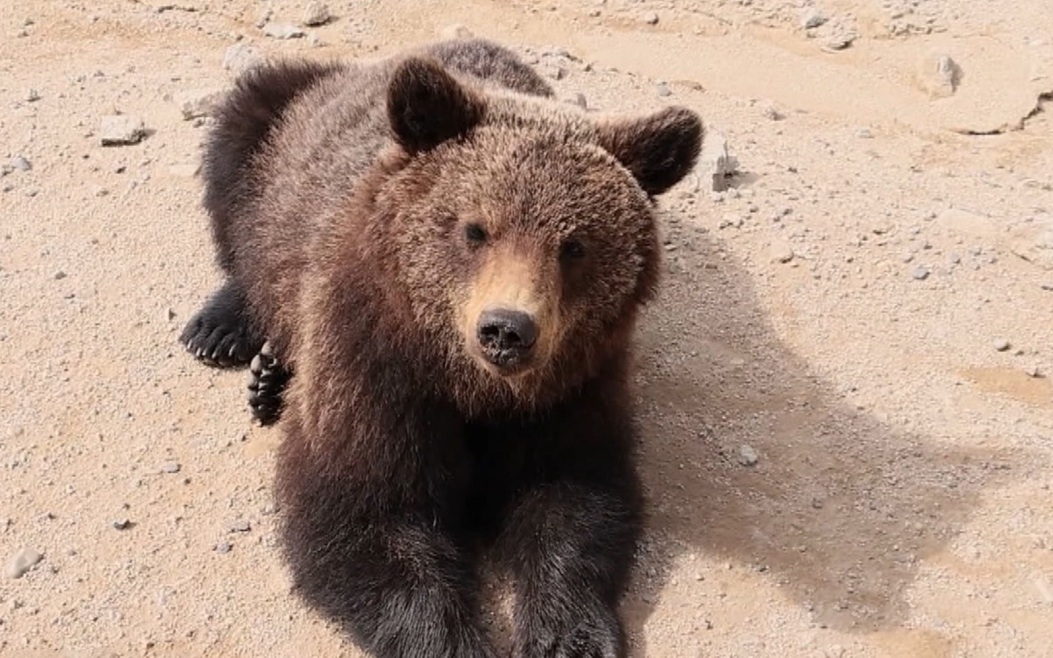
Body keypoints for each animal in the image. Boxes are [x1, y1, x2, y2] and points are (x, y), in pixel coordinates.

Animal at [179, 38, 703, 658]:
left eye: (574, 245)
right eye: (475, 229)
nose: (506, 329)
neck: (471, 386)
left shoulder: (574, 384)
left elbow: (574, 497)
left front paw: (569, 635)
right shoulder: (375, 363)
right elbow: (368, 511)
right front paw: (450, 638)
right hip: (280, 145)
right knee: (236, 169)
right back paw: (226, 335)